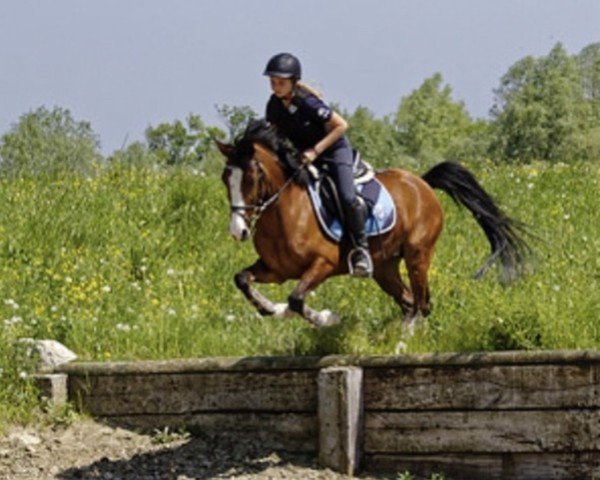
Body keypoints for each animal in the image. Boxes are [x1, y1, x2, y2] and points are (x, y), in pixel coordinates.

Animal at [216, 120, 528, 330]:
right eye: (225, 178)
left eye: (251, 177)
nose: (238, 231)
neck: (286, 211)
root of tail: (422, 182)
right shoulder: (277, 270)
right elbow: (242, 279)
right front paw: (272, 308)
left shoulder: (323, 264)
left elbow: (296, 299)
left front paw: (328, 318)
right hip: (384, 267)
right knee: (409, 302)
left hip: (417, 254)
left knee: (422, 302)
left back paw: (405, 340)